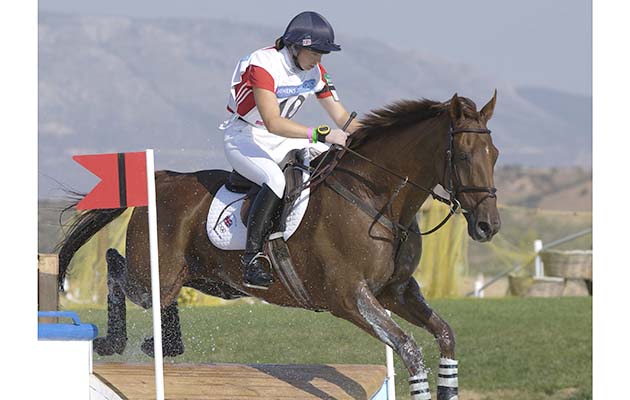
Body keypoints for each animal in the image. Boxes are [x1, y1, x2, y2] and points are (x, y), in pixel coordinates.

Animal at [59, 92, 504, 398]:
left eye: (495, 154)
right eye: (465, 156)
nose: (488, 226)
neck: (375, 197)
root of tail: (161, 177)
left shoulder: (396, 292)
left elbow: (444, 334)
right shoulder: (350, 297)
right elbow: (410, 348)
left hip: (201, 279)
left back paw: (161, 344)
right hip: (154, 276)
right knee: (116, 267)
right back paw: (111, 341)